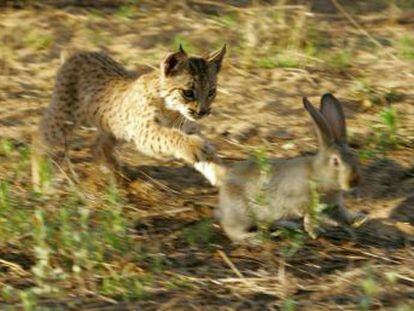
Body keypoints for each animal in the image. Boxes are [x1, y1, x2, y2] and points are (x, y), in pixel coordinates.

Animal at [215, 94, 368, 245]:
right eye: (335, 161)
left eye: (354, 156)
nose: (354, 181)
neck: (318, 174)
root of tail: (226, 179)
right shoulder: (298, 199)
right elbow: (308, 213)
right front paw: (314, 231)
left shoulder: (333, 206)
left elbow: (342, 215)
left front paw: (358, 218)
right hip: (241, 212)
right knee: (232, 230)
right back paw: (252, 239)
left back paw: (289, 225)